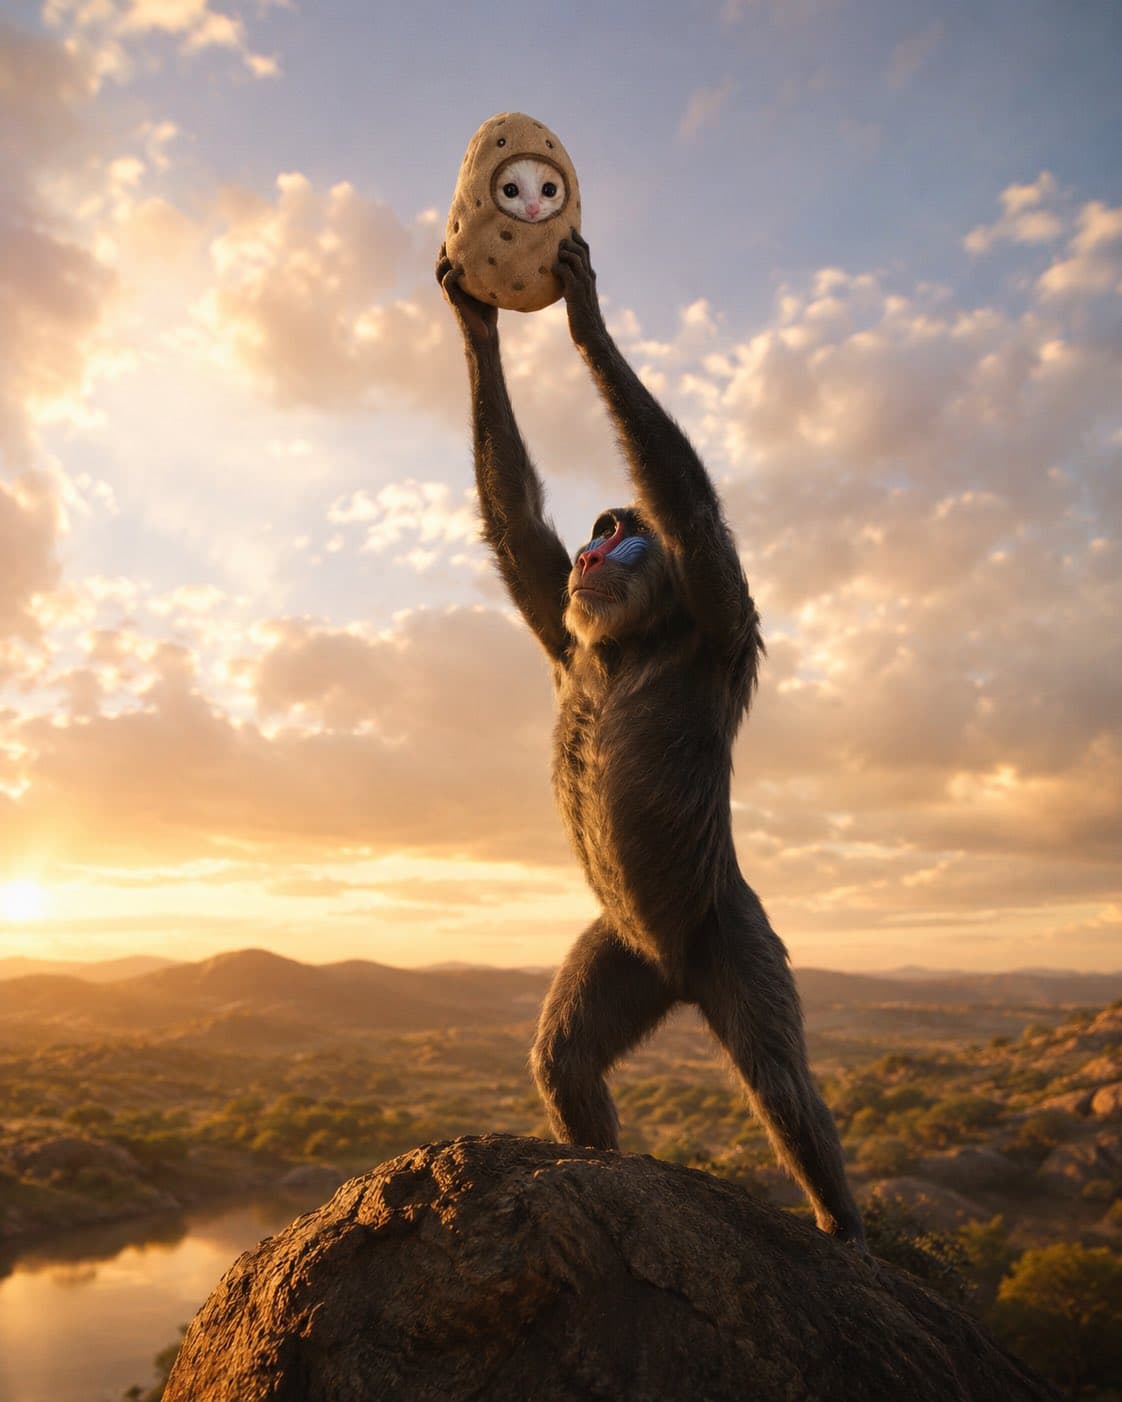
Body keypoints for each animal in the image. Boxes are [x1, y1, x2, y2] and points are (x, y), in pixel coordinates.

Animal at [437, 232, 865, 1246]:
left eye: (622, 533)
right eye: (595, 534)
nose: (595, 551)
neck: (630, 644)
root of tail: (676, 968)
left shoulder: (722, 614)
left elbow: (694, 510)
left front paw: (588, 319)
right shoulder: (563, 630)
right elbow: (517, 526)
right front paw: (478, 324)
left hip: (728, 929)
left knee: (780, 1082)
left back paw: (842, 1224)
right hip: (626, 954)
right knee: (567, 1057)